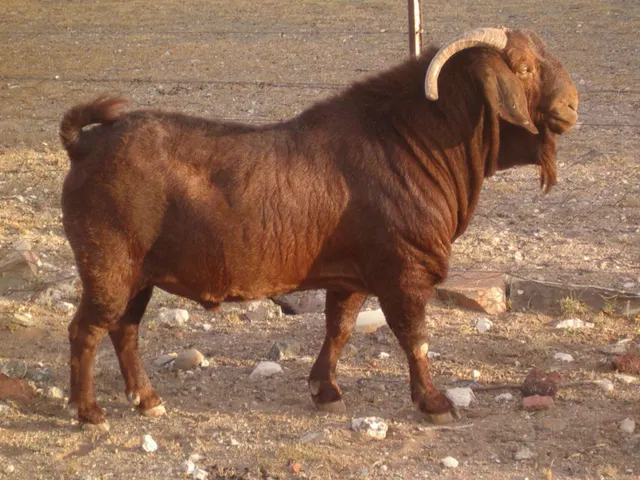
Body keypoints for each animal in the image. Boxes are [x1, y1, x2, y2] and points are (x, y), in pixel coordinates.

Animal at [60, 27, 578, 430]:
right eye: (524, 69)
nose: (572, 105)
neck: (410, 141)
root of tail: (84, 145)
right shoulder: (403, 270)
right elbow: (414, 338)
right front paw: (434, 403)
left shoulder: (351, 276)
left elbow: (340, 329)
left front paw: (325, 391)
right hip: (108, 265)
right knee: (86, 329)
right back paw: (90, 412)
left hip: (139, 275)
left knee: (124, 329)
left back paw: (147, 400)